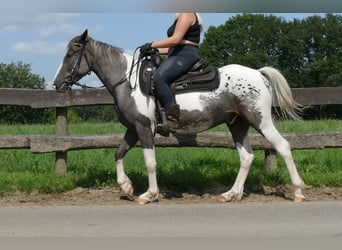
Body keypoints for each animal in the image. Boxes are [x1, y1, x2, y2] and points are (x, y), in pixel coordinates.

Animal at [52, 30, 304, 204]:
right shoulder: (133, 128)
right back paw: (231, 194)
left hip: (260, 120)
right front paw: (126, 188)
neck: (128, 82)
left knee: (283, 146)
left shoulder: (144, 128)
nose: (56, 84)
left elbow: (150, 162)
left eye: (71, 54)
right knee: (247, 157)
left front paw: (149, 194)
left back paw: (298, 192)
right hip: (237, 124)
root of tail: (259, 74)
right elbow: (118, 153)